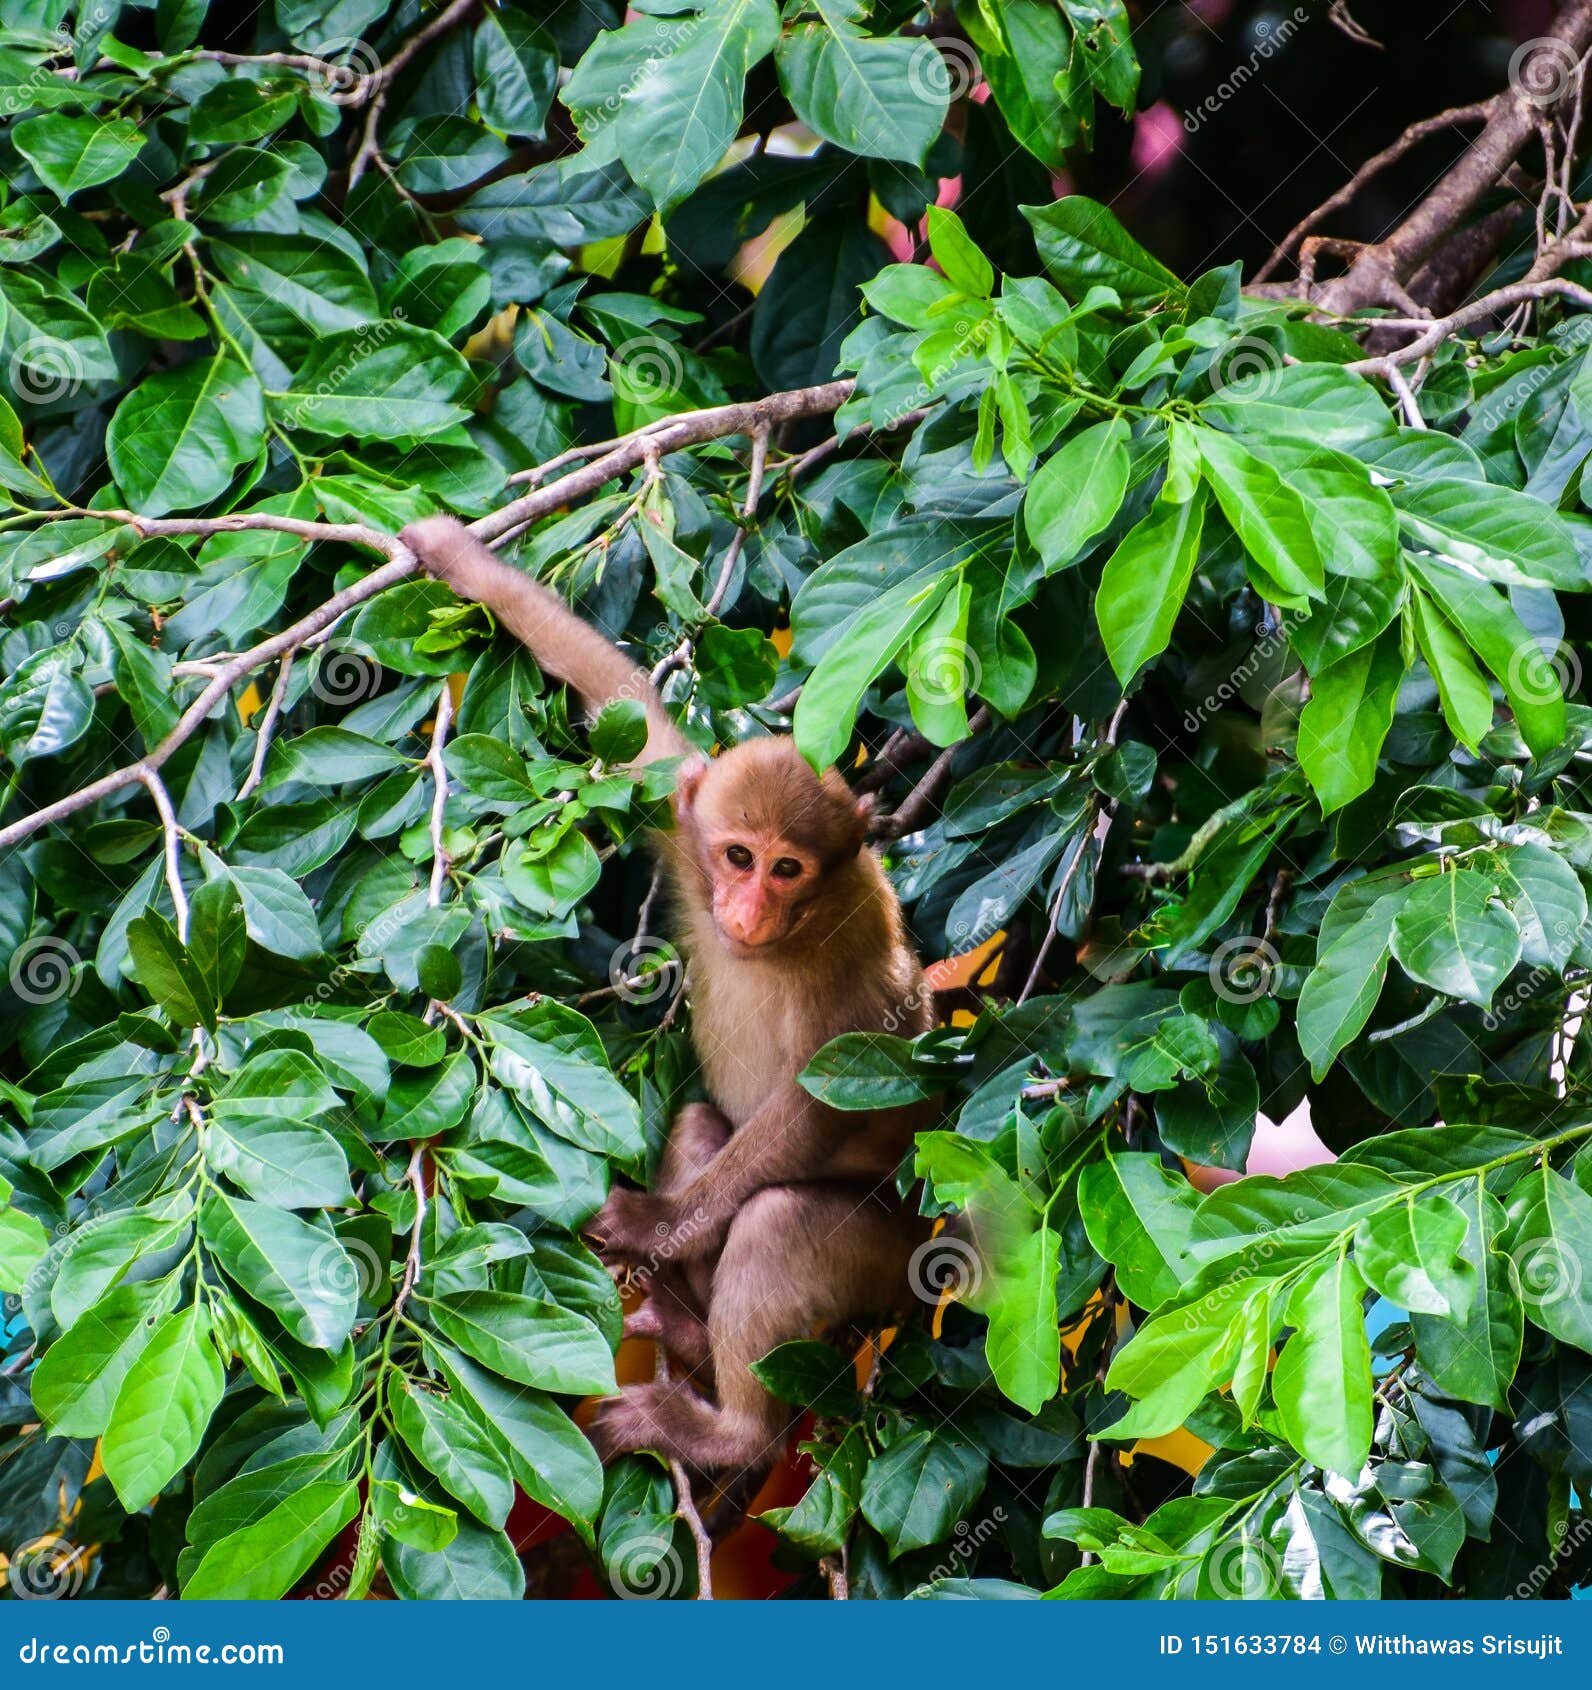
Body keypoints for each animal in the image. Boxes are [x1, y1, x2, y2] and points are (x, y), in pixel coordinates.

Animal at [398, 517, 939, 1480]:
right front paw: (457, 558)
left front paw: (655, 1223)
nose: (746, 907)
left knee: (774, 1220)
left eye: (787, 868)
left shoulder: (854, 947)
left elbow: (824, 1097)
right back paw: (686, 1336)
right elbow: (624, 709)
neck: (793, 936)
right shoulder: (683, 824)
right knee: (695, 1127)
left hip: (889, 1252)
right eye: (737, 856)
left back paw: (728, 1434)